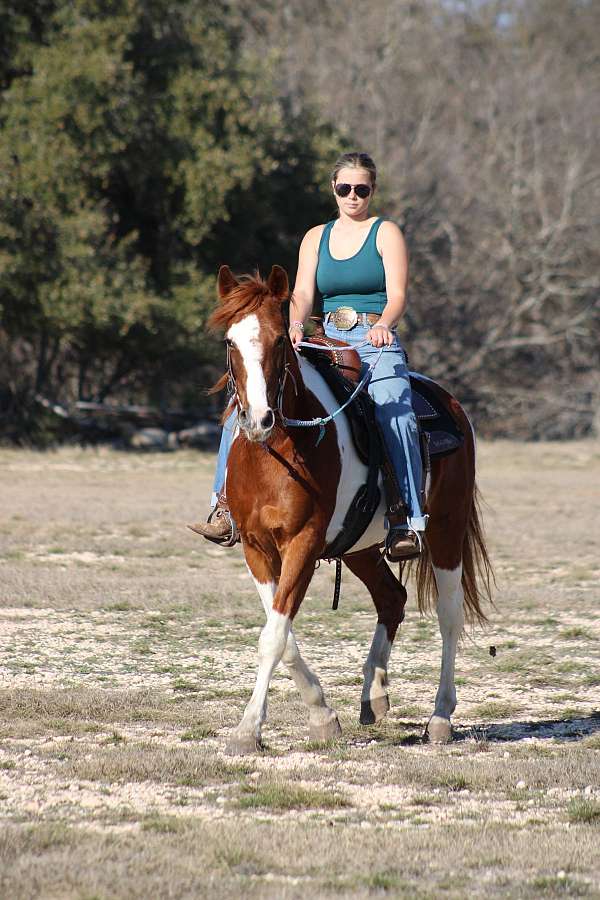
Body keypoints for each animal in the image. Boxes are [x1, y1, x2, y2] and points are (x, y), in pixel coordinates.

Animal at [211, 266, 492, 752]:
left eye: (279, 341)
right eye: (230, 342)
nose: (258, 420)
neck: (279, 450)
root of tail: (450, 402)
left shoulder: (303, 544)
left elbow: (274, 637)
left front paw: (248, 730)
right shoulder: (255, 547)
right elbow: (281, 634)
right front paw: (322, 715)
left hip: (447, 530)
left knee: (449, 615)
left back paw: (440, 717)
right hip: (360, 545)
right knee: (392, 598)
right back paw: (373, 695)